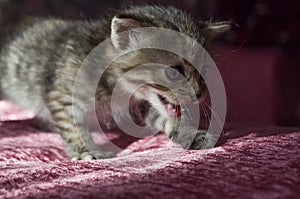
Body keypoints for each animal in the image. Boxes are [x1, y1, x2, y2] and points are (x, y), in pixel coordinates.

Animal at [0, 3, 230, 160]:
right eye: (173, 73)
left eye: (205, 71)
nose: (199, 94)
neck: (118, 87)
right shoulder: (62, 94)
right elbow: (73, 125)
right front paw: (84, 150)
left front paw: (191, 134)